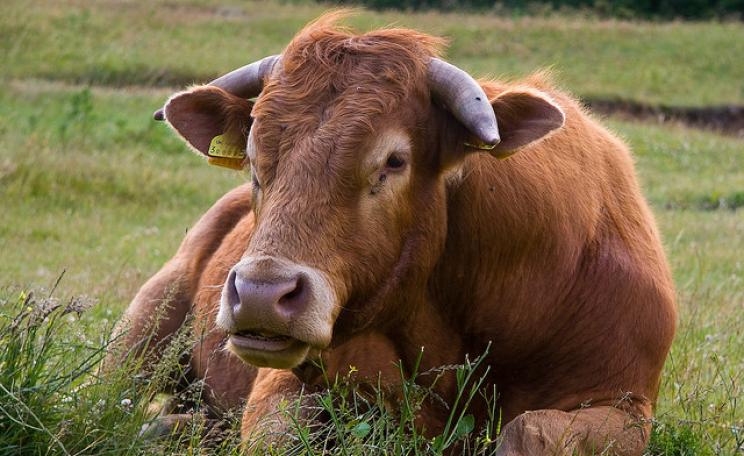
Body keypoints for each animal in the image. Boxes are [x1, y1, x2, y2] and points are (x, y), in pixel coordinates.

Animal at [112, 13, 676, 455]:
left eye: (394, 161)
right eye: (252, 155)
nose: (259, 295)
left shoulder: (623, 404)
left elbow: (527, 432)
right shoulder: (286, 387)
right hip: (142, 330)